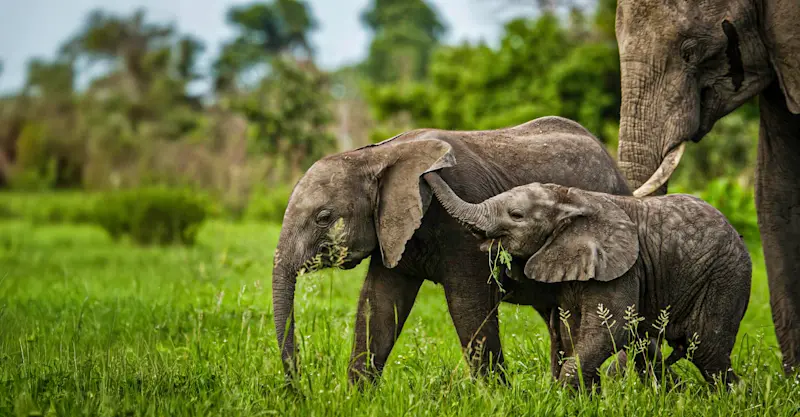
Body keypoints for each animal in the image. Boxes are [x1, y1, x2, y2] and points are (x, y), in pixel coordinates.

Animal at [272, 116, 632, 385]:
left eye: (323, 218)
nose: (300, 387)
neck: (379, 155)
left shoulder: (463, 225)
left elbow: (468, 306)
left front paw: (496, 398)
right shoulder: (393, 229)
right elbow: (379, 305)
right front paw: (356, 399)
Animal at [422, 171, 753, 390]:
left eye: (516, 215)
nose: (428, 172)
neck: (568, 198)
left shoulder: (622, 268)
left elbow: (610, 330)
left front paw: (560, 396)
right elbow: (571, 331)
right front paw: (584, 397)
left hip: (727, 277)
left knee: (707, 350)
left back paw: (733, 397)